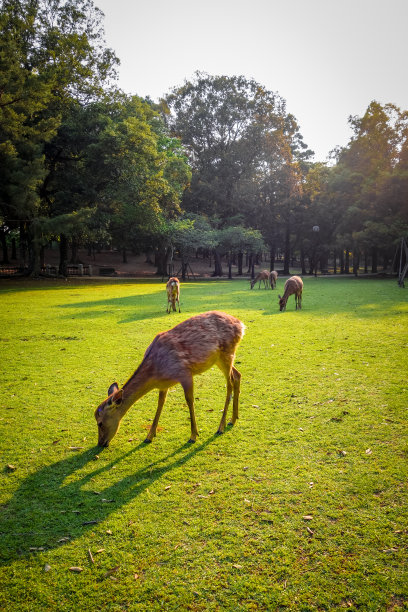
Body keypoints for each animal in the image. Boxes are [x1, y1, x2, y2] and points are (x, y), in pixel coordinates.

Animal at [94, 314, 244, 448]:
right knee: (237, 375)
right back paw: (233, 419)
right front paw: (149, 436)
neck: (156, 373)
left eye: (100, 422)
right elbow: (160, 404)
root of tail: (241, 325)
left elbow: (189, 401)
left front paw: (193, 436)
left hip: (227, 353)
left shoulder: (185, 374)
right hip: (219, 360)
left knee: (229, 384)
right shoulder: (163, 385)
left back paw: (221, 427)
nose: (101, 443)